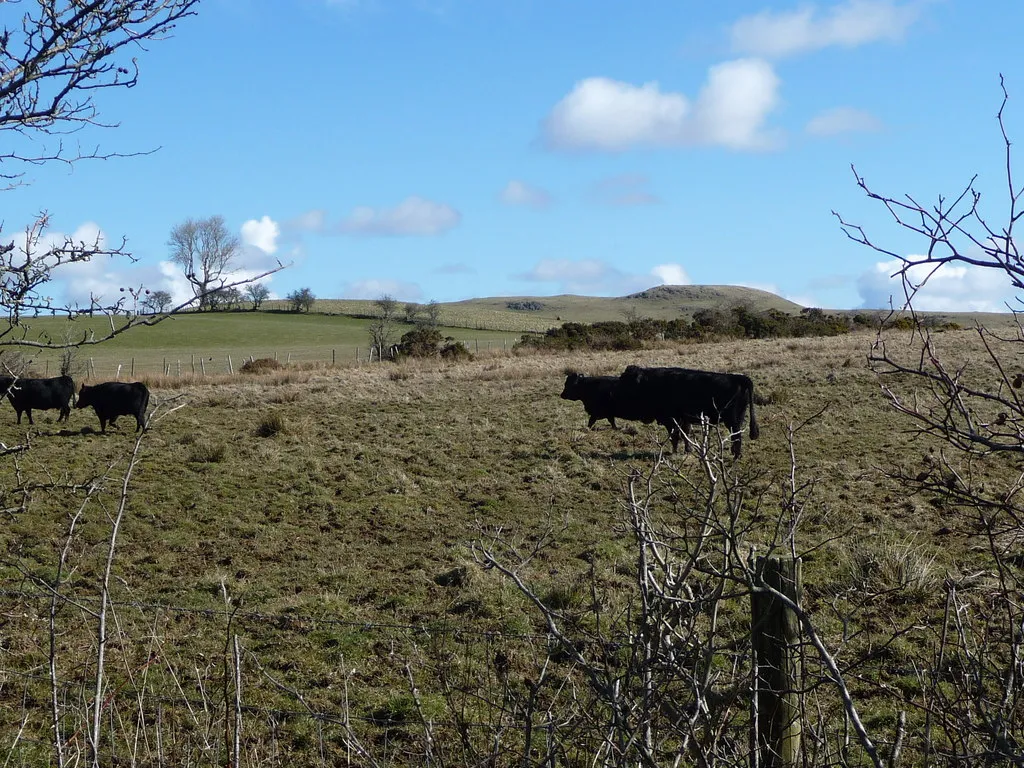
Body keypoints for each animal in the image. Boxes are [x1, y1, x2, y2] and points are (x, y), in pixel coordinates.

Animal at [610, 366, 757, 456]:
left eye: (626, 382)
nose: (613, 392)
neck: (650, 383)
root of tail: (739, 378)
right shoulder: (683, 419)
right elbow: (685, 434)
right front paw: (687, 450)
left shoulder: (670, 420)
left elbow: (675, 436)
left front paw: (674, 452)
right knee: (735, 435)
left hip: (732, 420)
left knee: (737, 436)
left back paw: (736, 455)